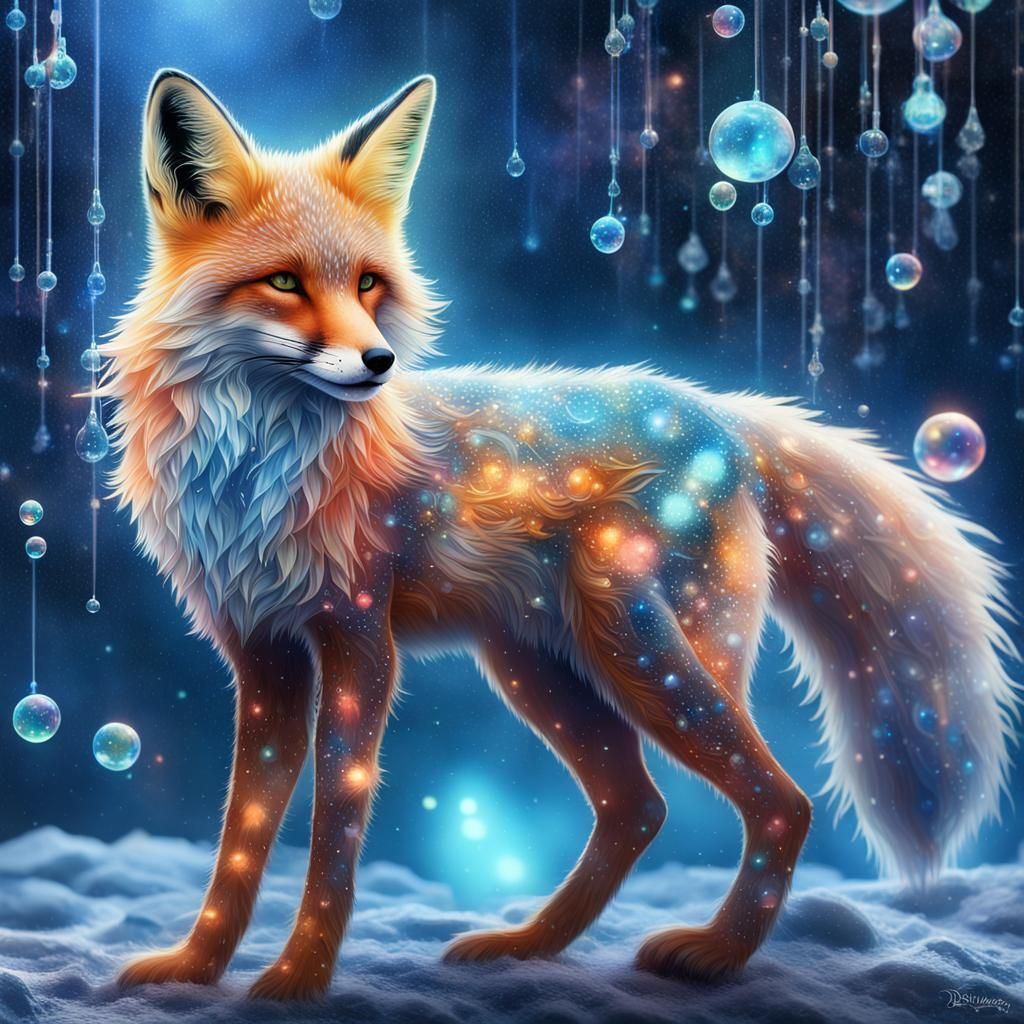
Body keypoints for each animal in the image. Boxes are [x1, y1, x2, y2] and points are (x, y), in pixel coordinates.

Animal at [105, 70, 1019, 1000]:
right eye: (285, 282)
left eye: (367, 285)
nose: (378, 364)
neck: (256, 473)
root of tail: (721, 413)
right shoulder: (263, 654)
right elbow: (243, 832)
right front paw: (195, 968)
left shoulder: (361, 641)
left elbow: (337, 821)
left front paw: (299, 975)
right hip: (538, 668)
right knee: (638, 807)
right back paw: (530, 946)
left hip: (639, 647)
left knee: (779, 802)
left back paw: (716, 954)